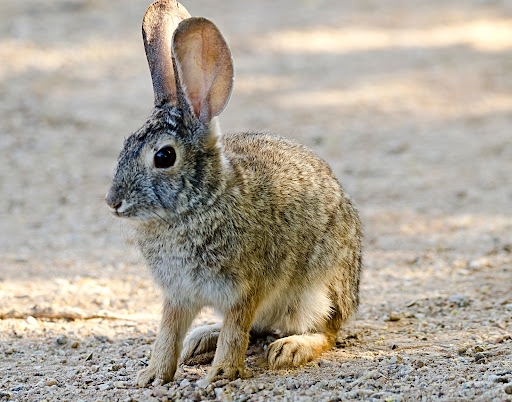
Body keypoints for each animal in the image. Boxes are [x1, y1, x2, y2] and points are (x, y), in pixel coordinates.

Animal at [107, 0, 364, 386]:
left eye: (164, 156)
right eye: (124, 145)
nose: (113, 202)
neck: (201, 202)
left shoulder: (246, 288)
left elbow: (235, 330)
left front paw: (221, 375)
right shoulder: (178, 294)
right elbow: (167, 333)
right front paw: (152, 376)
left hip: (316, 292)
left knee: (325, 331)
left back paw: (289, 349)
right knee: (256, 329)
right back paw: (201, 340)